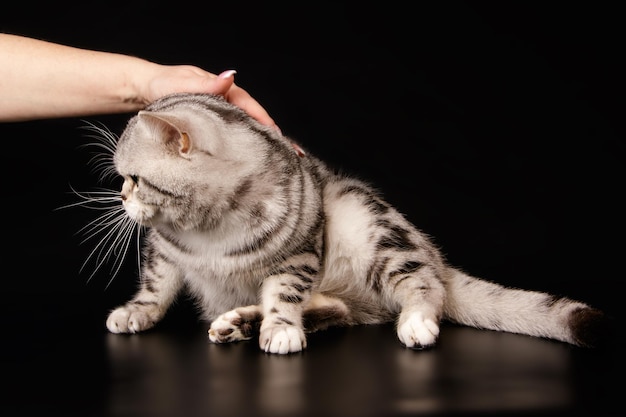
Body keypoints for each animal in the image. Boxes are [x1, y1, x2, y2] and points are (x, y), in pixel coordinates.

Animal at [73, 92, 604, 352]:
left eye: (133, 178)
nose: (120, 197)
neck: (208, 230)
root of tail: (435, 254)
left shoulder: (301, 251)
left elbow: (283, 294)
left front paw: (280, 327)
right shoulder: (163, 250)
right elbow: (156, 286)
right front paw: (136, 312)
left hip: (364, 220)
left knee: (421, 286)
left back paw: (415, 322)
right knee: (339, 311)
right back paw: (237, 323)